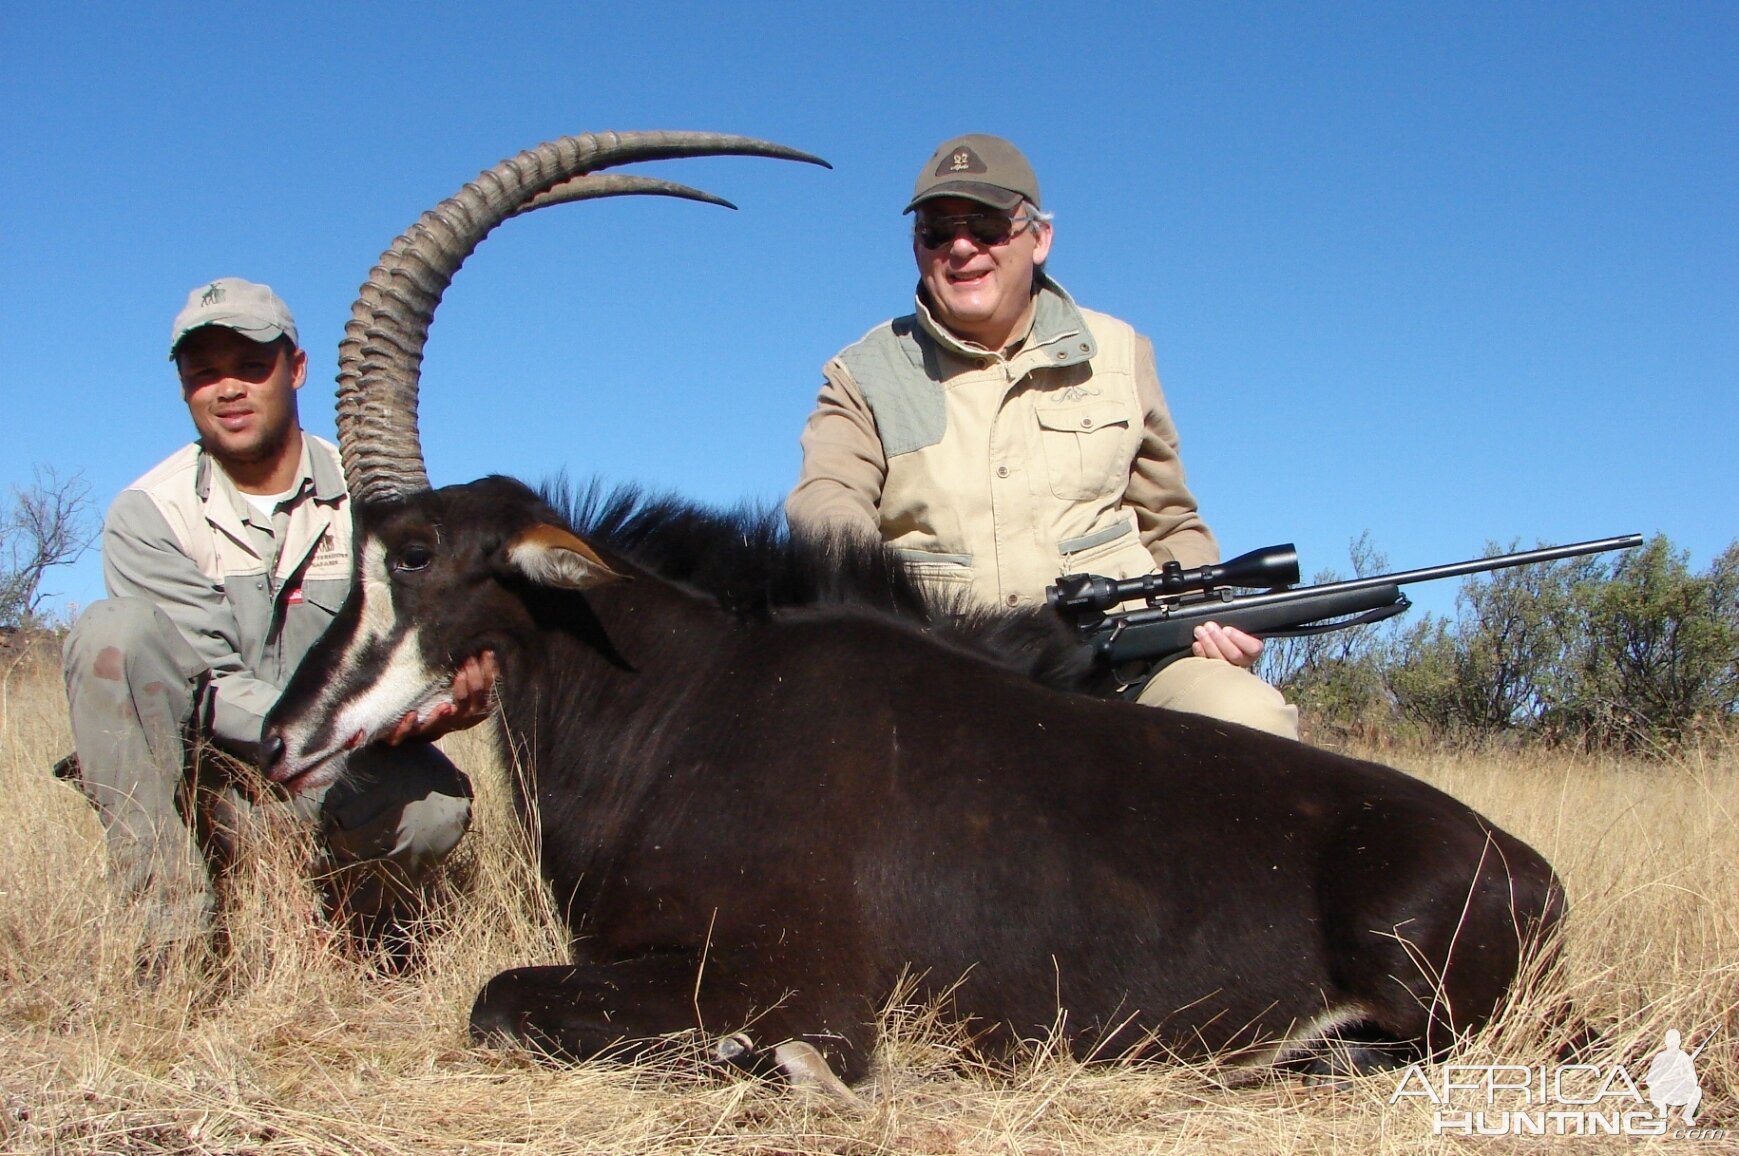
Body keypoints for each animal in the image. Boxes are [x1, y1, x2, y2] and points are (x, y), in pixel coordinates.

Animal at [264, 128, 1572, 1091]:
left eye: (416, 552)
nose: (277, 736)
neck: (680, 703)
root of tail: (1530, 871)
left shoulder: (793, 978)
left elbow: (499, 1000)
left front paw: (783, 1069)